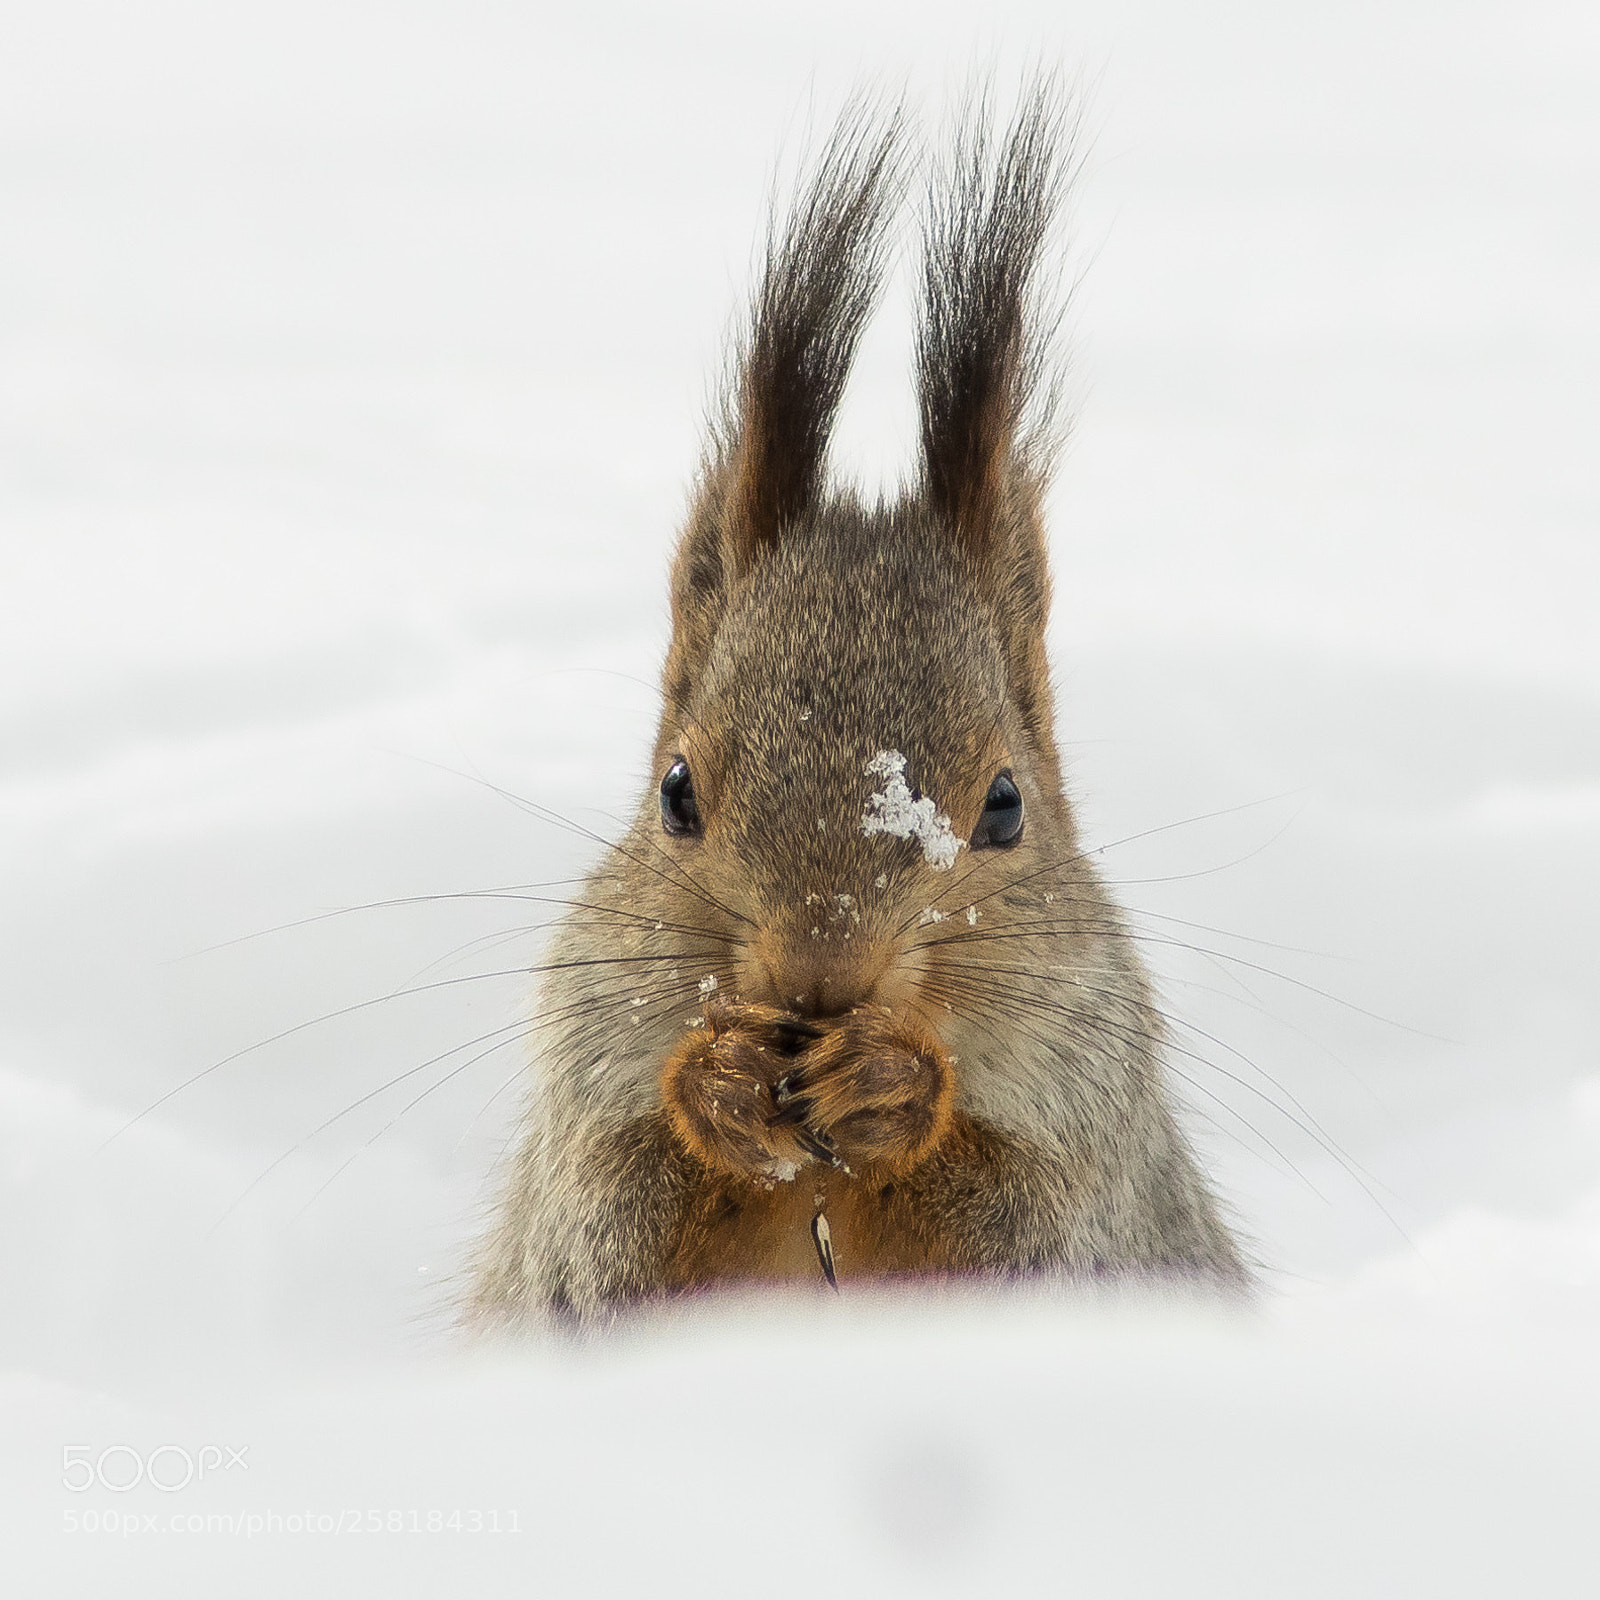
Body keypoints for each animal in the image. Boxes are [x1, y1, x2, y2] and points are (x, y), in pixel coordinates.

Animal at [469, 89, 1249, 1331]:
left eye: (1005, 805)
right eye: (675, 793)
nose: (817, 972)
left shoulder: (1102, 1171)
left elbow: (1017, 1230)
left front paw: (895, 1085)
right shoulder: (577, 1149)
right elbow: (607, 1247)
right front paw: (716, 1082)